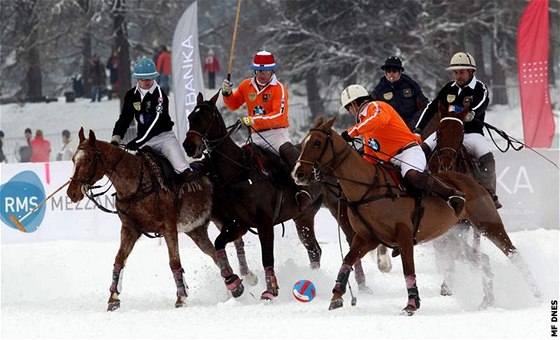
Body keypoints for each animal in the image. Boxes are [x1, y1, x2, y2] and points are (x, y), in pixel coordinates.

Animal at [68, 127, 219, 310]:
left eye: (89, 159)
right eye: (73, 159)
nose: (72, 193)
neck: (136, 185)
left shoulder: (168, 227)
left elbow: (174, 262)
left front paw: (181, 298)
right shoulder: (130, 229)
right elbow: (119, 259)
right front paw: (113, 298)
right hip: (196, 230)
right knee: (215, 254)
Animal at [180, 92, 372, 300]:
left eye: (206, 117)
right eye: (190, 117)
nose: (189, 146)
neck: (239, 172)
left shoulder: (264, 223)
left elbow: (267, 257)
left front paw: (270, 291)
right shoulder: (240, 224)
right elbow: (218, 244)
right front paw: (234, 283)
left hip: (340, 207)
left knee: (350, 240)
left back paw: (362, 285)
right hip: (303, 216)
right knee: (314, 250)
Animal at [294, 117, 544, 316]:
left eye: (316, 143)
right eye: (304, 143)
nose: (298, 173)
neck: (367, 188)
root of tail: (474, 181)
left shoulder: (404, 235)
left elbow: (408, 269)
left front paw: (411, 305)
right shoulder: (366, 238)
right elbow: (347, 260)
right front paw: (336, 296)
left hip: (488, 223)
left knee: (513, 254)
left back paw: (536, 292)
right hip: (452, 237)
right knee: (483, 259)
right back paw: (488, 301)